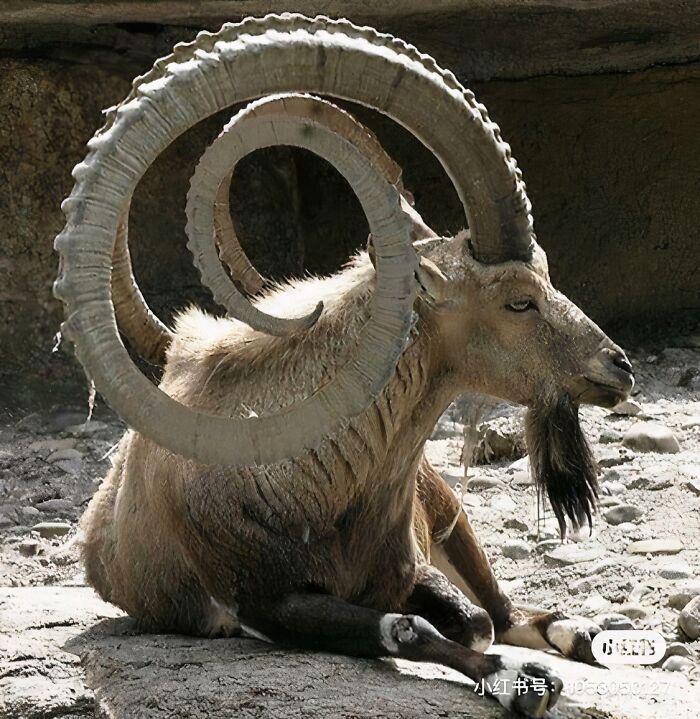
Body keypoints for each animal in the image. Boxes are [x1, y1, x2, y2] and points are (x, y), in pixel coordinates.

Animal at [55, 16, 635, 719]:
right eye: (518, 300)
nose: (620, 367)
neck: (315, 479)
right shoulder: (263, 600)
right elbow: (411, 627)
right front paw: (519, 681)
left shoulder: (406, 566)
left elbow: (471, 619)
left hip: (448, 508)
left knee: (504, 607)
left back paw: (583, 634)